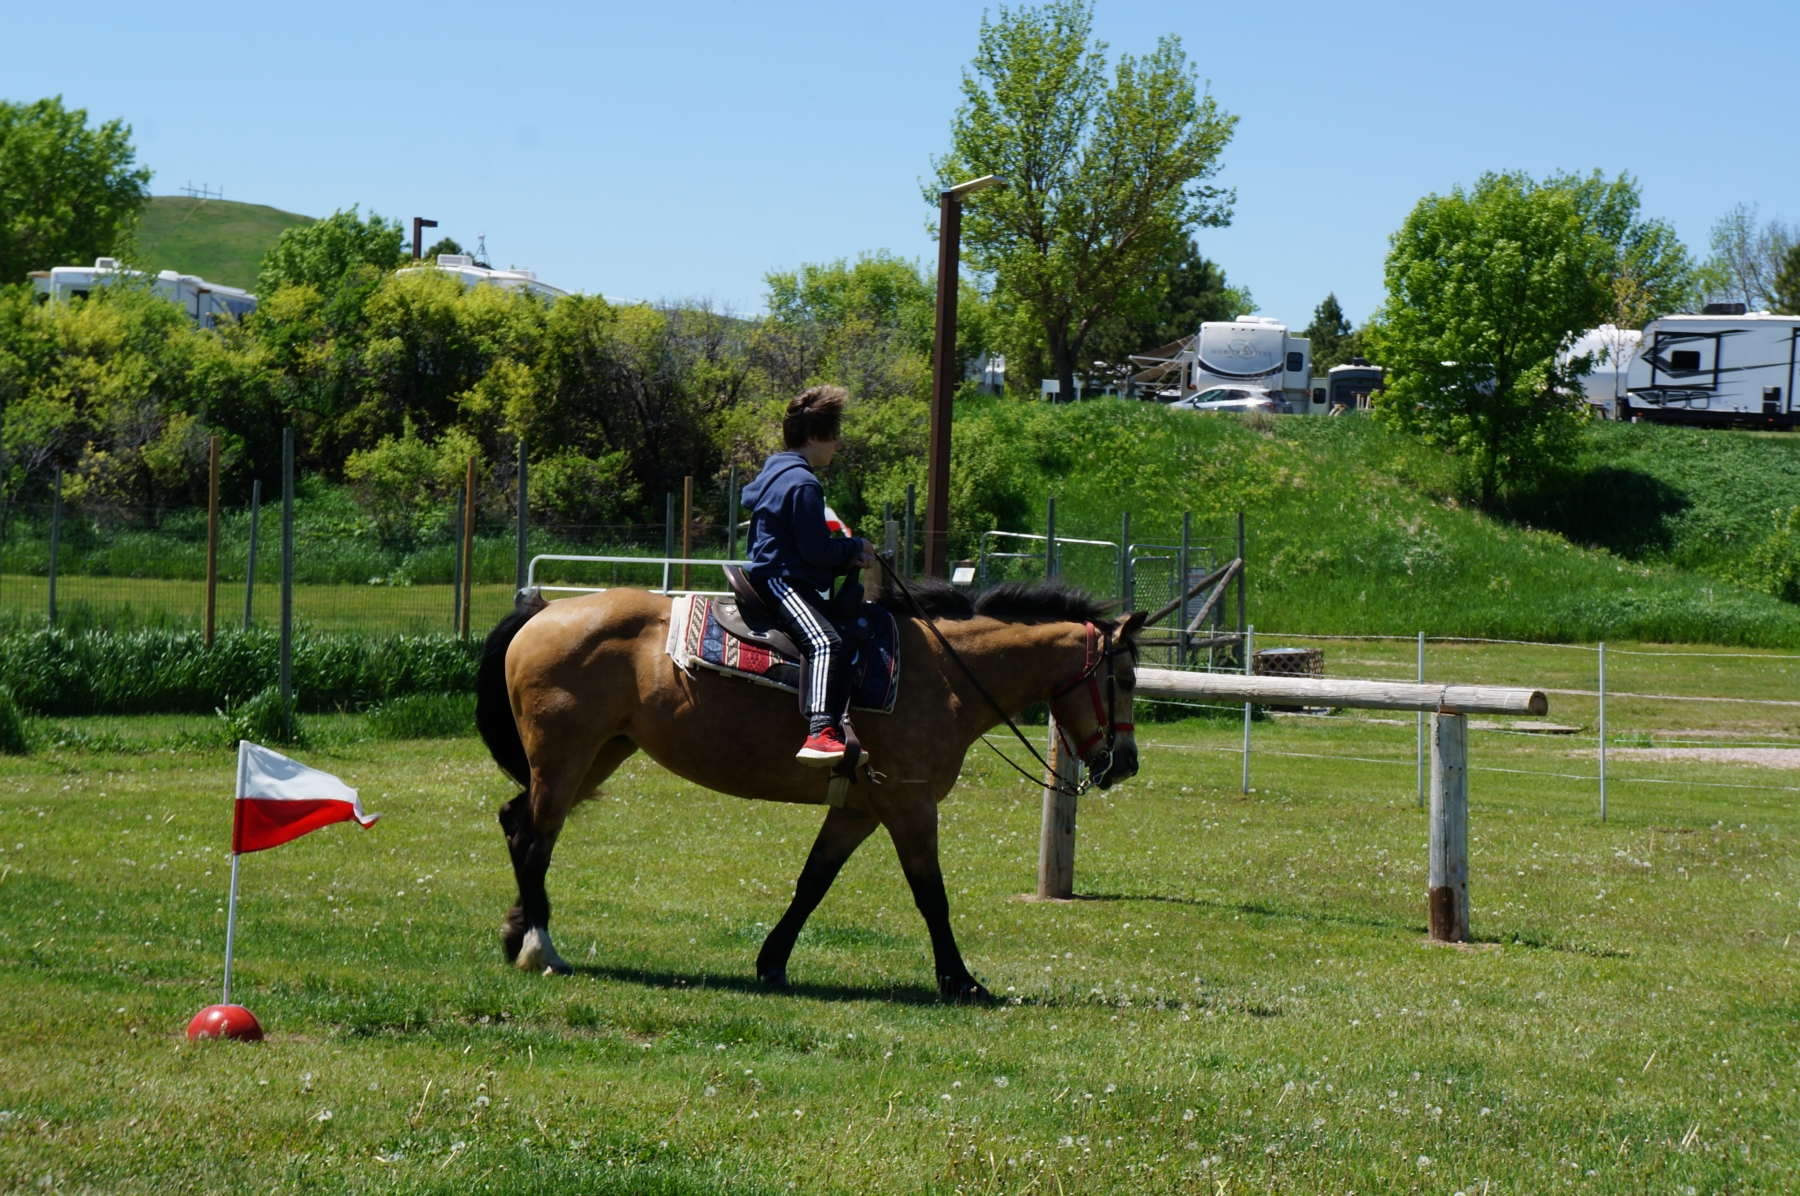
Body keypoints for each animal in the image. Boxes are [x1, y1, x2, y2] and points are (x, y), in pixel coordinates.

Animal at [475, 578, 1145, 1001]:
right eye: (1127, 678)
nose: (1126, 764)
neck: (948, 673)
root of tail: (544, 610)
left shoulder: (860, 809)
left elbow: (812, 883)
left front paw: (772, 962)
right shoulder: (910, 803)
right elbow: (933, 896)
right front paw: (960, 981)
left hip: (597, 755)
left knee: (519, 824)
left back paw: (517, 932)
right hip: (565, 759)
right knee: (534, 842)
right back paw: (540, 948)